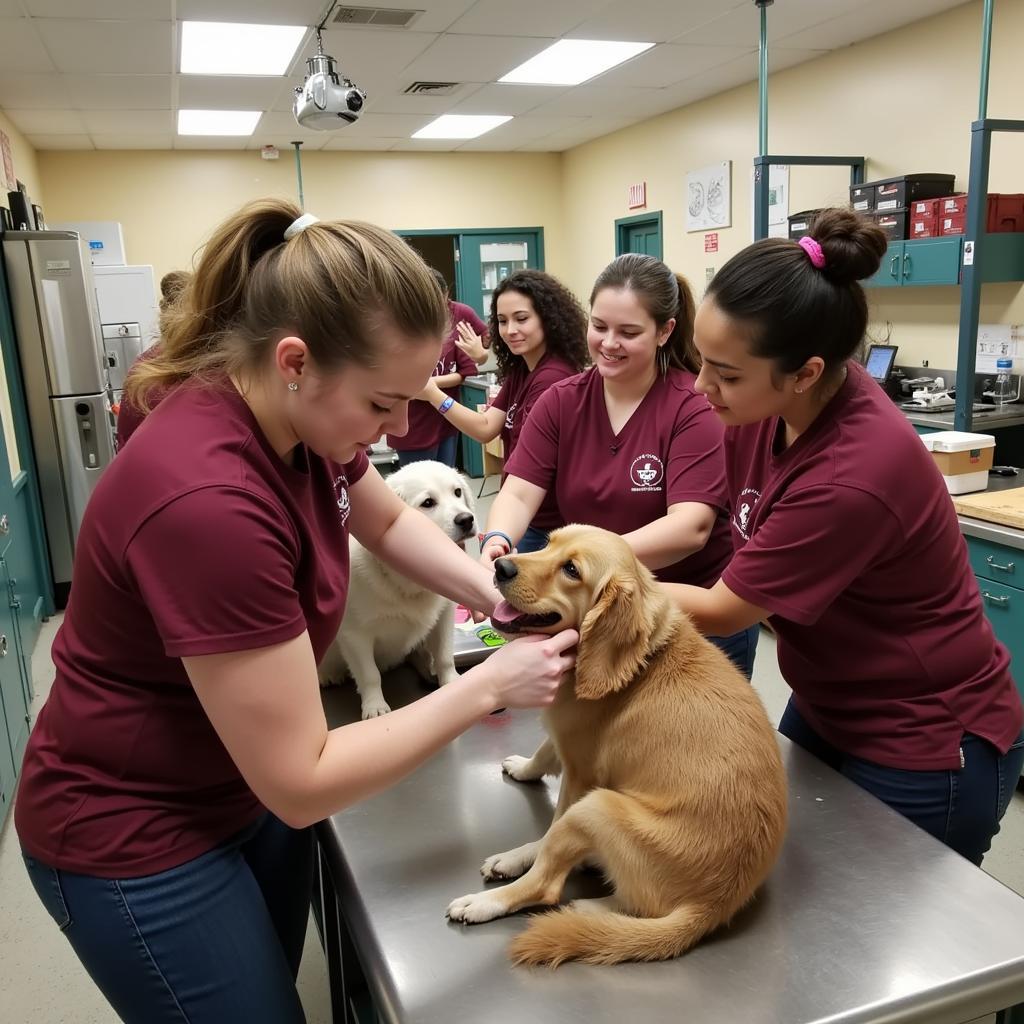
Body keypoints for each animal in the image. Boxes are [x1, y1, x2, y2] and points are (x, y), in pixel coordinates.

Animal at [319, 460, 475, 716]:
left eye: (457, 492)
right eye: (428, 503)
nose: (467, 519)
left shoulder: (444, 616)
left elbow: (444, 655)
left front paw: (451, 680)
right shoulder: (354, 635)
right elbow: (370, 674)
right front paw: (375, 706)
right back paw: (327, 673)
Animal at [444, 528, 786, 966]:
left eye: (572, 570)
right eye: (549, 542)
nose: (500, 566)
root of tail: (712, 905)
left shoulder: (580, 773)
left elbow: (549, 830)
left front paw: (522, 855)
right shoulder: (567, 739)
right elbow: (543, 753)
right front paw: (524, 767)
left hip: (597, 805)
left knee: (547, 884)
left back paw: (493, 898)